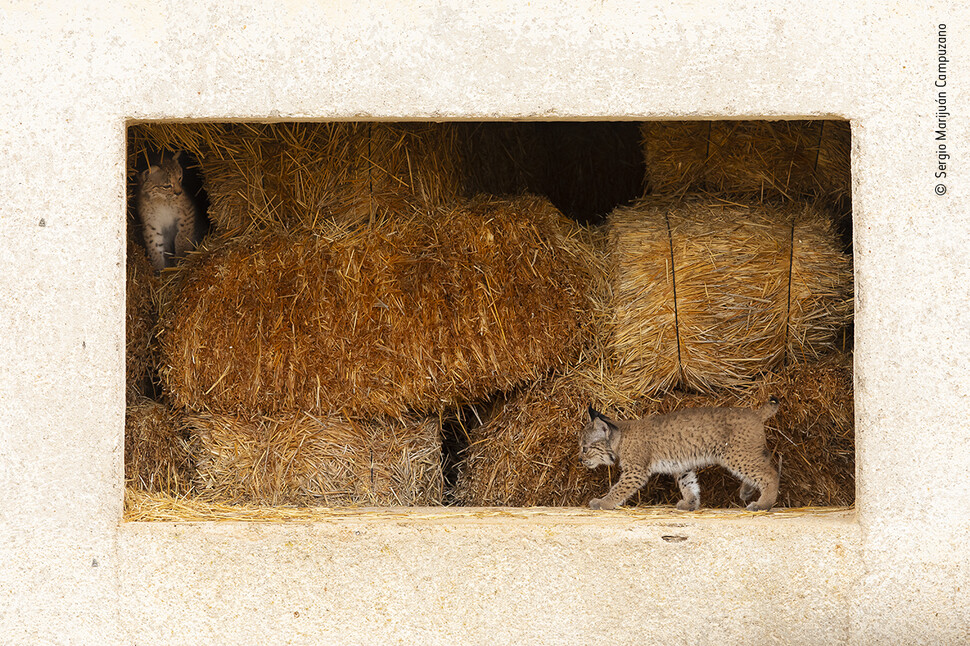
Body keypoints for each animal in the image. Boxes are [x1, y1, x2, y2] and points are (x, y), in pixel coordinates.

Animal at [584, 400, 780, 512]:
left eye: (584, 448)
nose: (580, 459)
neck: (620, 436)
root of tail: (754, 412)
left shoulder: (635, 472)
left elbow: (618, 489)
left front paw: (603, 503)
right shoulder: (681, 466)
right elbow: (688, 484)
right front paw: (690, 504)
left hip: (736, 455)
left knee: (770, 473)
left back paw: (763, 505)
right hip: (747, 453)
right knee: (765, 465)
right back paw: (747, 491)